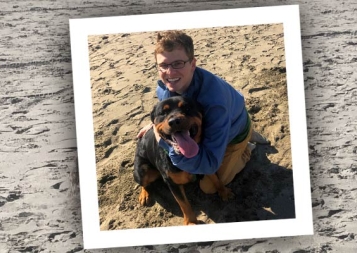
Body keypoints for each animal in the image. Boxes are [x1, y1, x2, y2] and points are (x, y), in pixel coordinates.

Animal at [132, 96, 232, 224]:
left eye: (187, 108)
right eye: (163, 113)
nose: (174, 121)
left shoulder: (206, 164)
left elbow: (216, 180)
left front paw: (224, 192)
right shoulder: (173, 184)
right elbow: (184, 204)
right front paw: (191, 222)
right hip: (142, 170)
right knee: (143, 183)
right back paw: (144, 195)